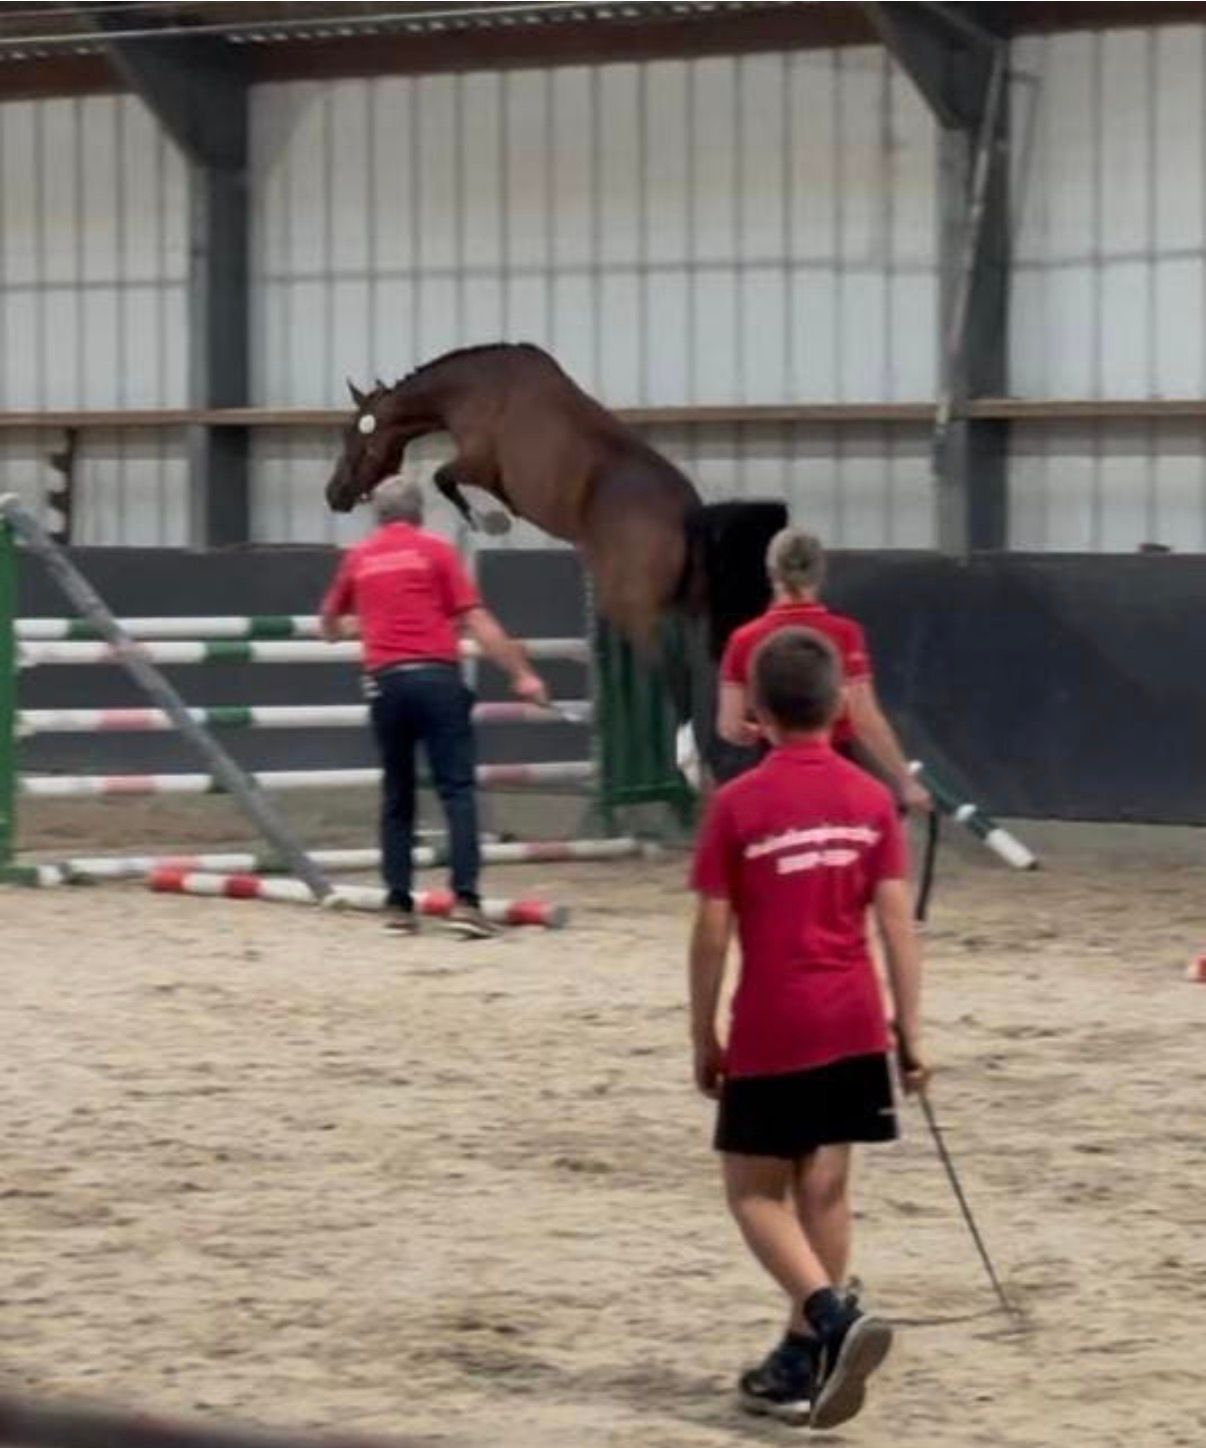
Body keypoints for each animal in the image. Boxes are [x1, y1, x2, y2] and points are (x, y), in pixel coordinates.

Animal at [326, 342, 705, 650]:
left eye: (352, 435)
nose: (333, 494)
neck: (476, 388)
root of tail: (690, 511)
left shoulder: (477, 464)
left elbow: (443, 479)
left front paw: (489, 523)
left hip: (636, 605)